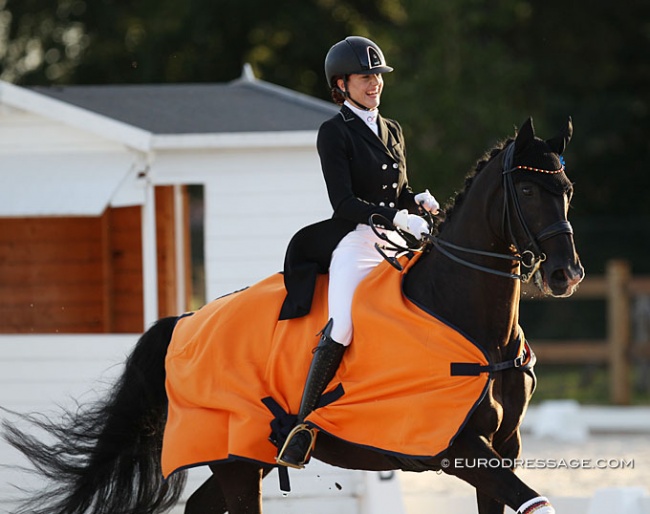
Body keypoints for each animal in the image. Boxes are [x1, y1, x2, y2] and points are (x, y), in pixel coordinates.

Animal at [2, 116, 584, 512]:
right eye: (526, 188)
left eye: (567, 189)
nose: (567, 274)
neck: (469, 323)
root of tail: (185, 322)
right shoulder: (457, 446)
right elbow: (536, 502)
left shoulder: (503, 446)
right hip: (236, 457)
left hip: (245, 457)